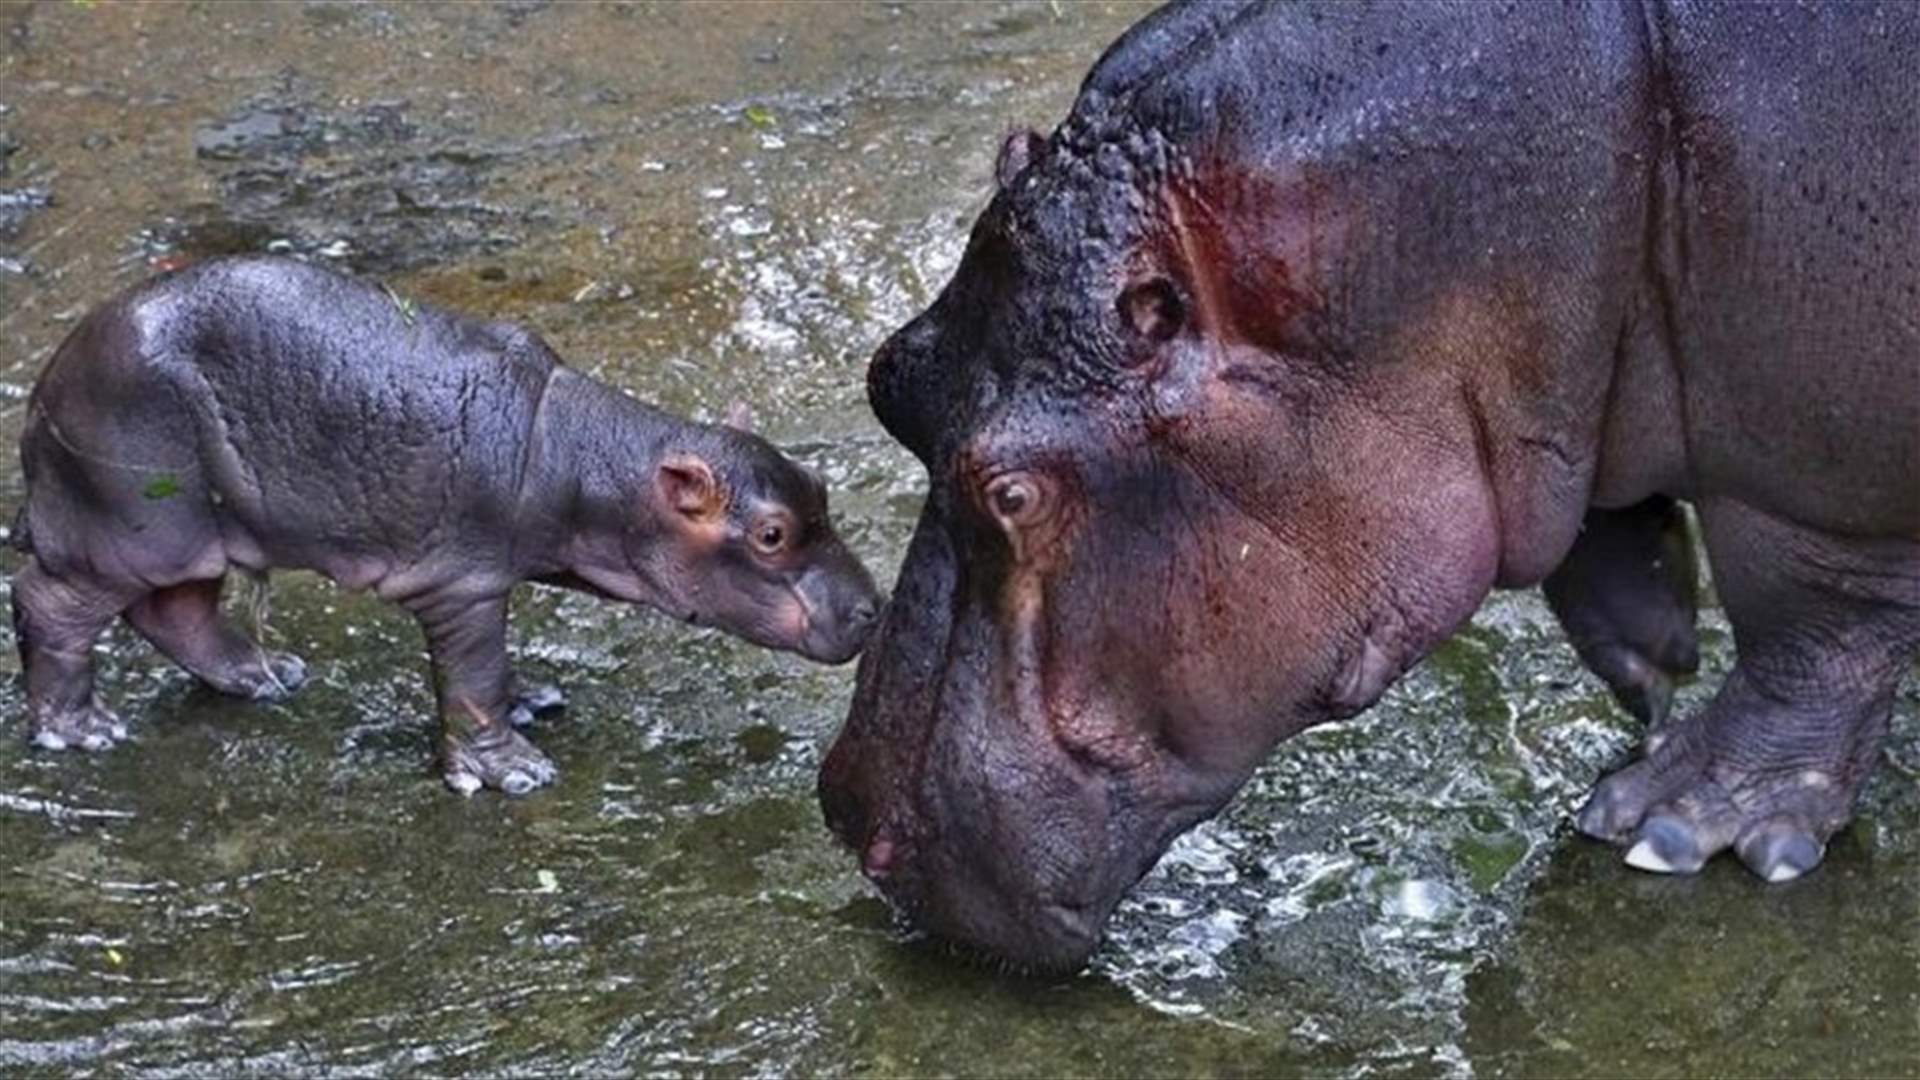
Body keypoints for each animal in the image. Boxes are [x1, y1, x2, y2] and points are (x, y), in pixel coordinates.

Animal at [11, 256, 880, 795]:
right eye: (771, 534)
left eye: (820, 488)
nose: (872, 608)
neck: (582, 456)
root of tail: (51, 376)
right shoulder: (462, 582)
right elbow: (473, 677)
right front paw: (514, 772)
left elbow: (494, 674)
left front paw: (536, 702)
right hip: (129, 526)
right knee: (48, 601)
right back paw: (83, 731)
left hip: (196, 530)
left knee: (177, 609)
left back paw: (270, 676)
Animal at [820, 0, 1919, 970]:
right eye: (886, 376)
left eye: (1013, 496)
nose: (849, 820)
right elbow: (1595, 534)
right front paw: (1652, 662)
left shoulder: (1816, 480)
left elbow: (1812, 624)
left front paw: (1678, 822)